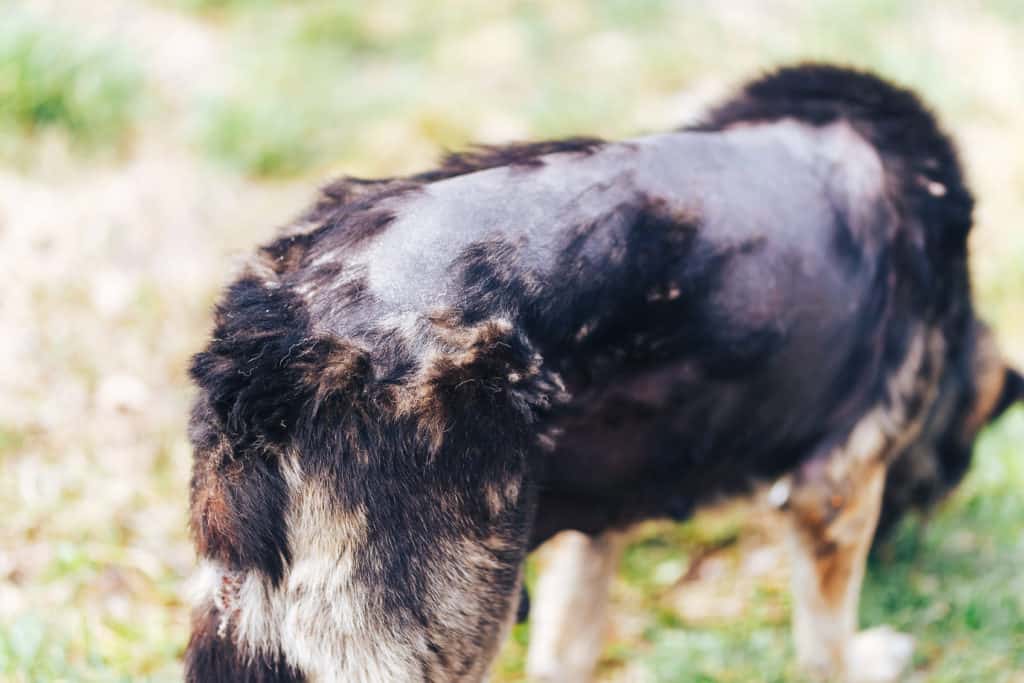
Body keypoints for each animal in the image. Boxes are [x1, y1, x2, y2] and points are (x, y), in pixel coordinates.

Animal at [186, 62, 1024, 679]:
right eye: (952, 470)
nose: (897, 558)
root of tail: (277, 327)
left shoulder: (598, 526)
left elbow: (568, 644)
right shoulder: (837, 493)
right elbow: (827, 645)